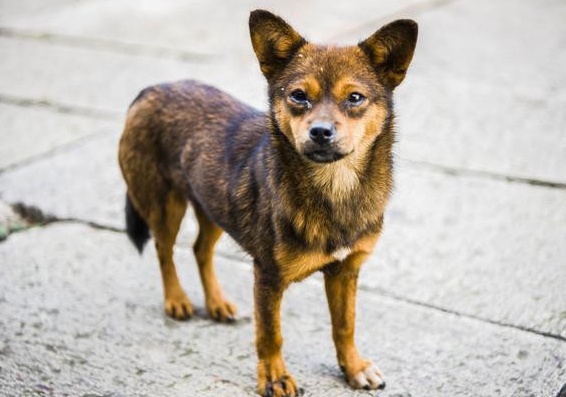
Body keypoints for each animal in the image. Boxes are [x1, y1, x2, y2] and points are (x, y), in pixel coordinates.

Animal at [118, 10, 418, 396]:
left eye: (355, 97)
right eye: (298, 96)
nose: (320, 132)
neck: (334, 187)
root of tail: (153, 89)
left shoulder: (345, 270)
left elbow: (344, 325)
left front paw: (353, 367)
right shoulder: (268, 277)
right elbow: (270, 333)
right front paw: (275, 377)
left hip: (213, 204)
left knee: (201, 249)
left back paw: (216, 303)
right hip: (163, 204)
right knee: (164, 248)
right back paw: (177, 299)